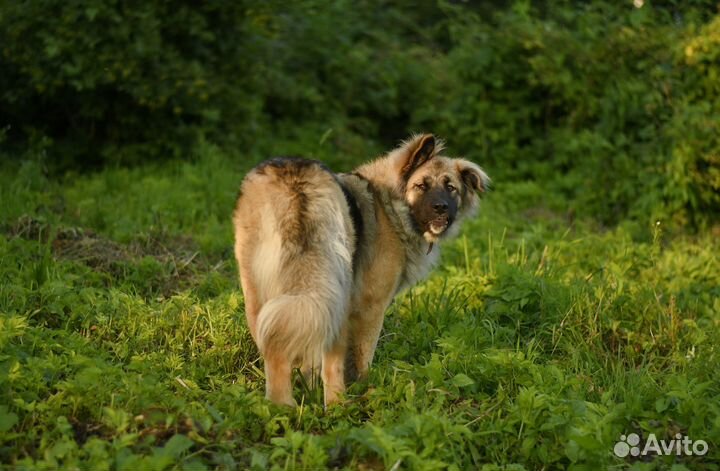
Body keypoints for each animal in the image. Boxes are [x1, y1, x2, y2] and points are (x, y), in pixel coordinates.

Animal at [235, 134, 490, 406]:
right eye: (422, 185)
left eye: (451, 188)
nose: (441, 207)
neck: (390, 206)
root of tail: (296, 180)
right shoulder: (371, 306)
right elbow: (362, 356)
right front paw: (365, 387)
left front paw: (308, 387)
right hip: (337, 294)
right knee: (330, 364)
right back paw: (338, 406)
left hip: (261, 297)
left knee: (274, 349)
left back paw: (281, 406)